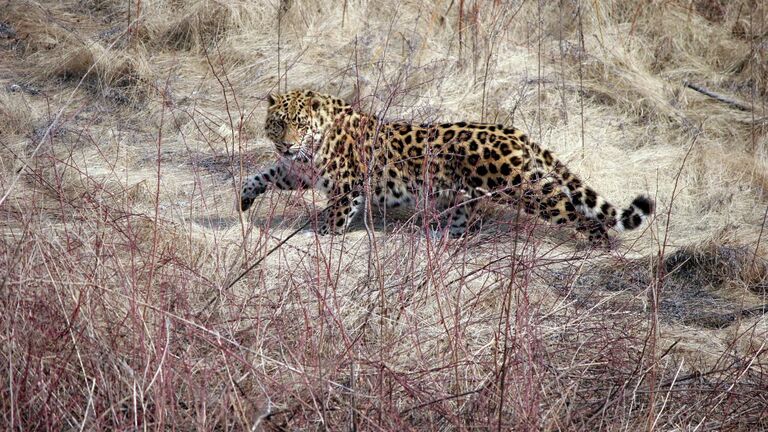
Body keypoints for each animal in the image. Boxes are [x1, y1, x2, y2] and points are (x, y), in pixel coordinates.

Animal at [240, 89, 656, 245]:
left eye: (299, 123)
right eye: (278, 123)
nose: (286, 142)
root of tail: (516, 133)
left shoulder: (347, 186)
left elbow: (332, 217)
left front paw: (318, 237)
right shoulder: (298, 171)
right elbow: (265, 174)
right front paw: (244, 200)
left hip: (527, 190)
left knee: (577, 212)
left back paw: (598, 244)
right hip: (469, 195)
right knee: (463, 221)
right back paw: (440, 237)